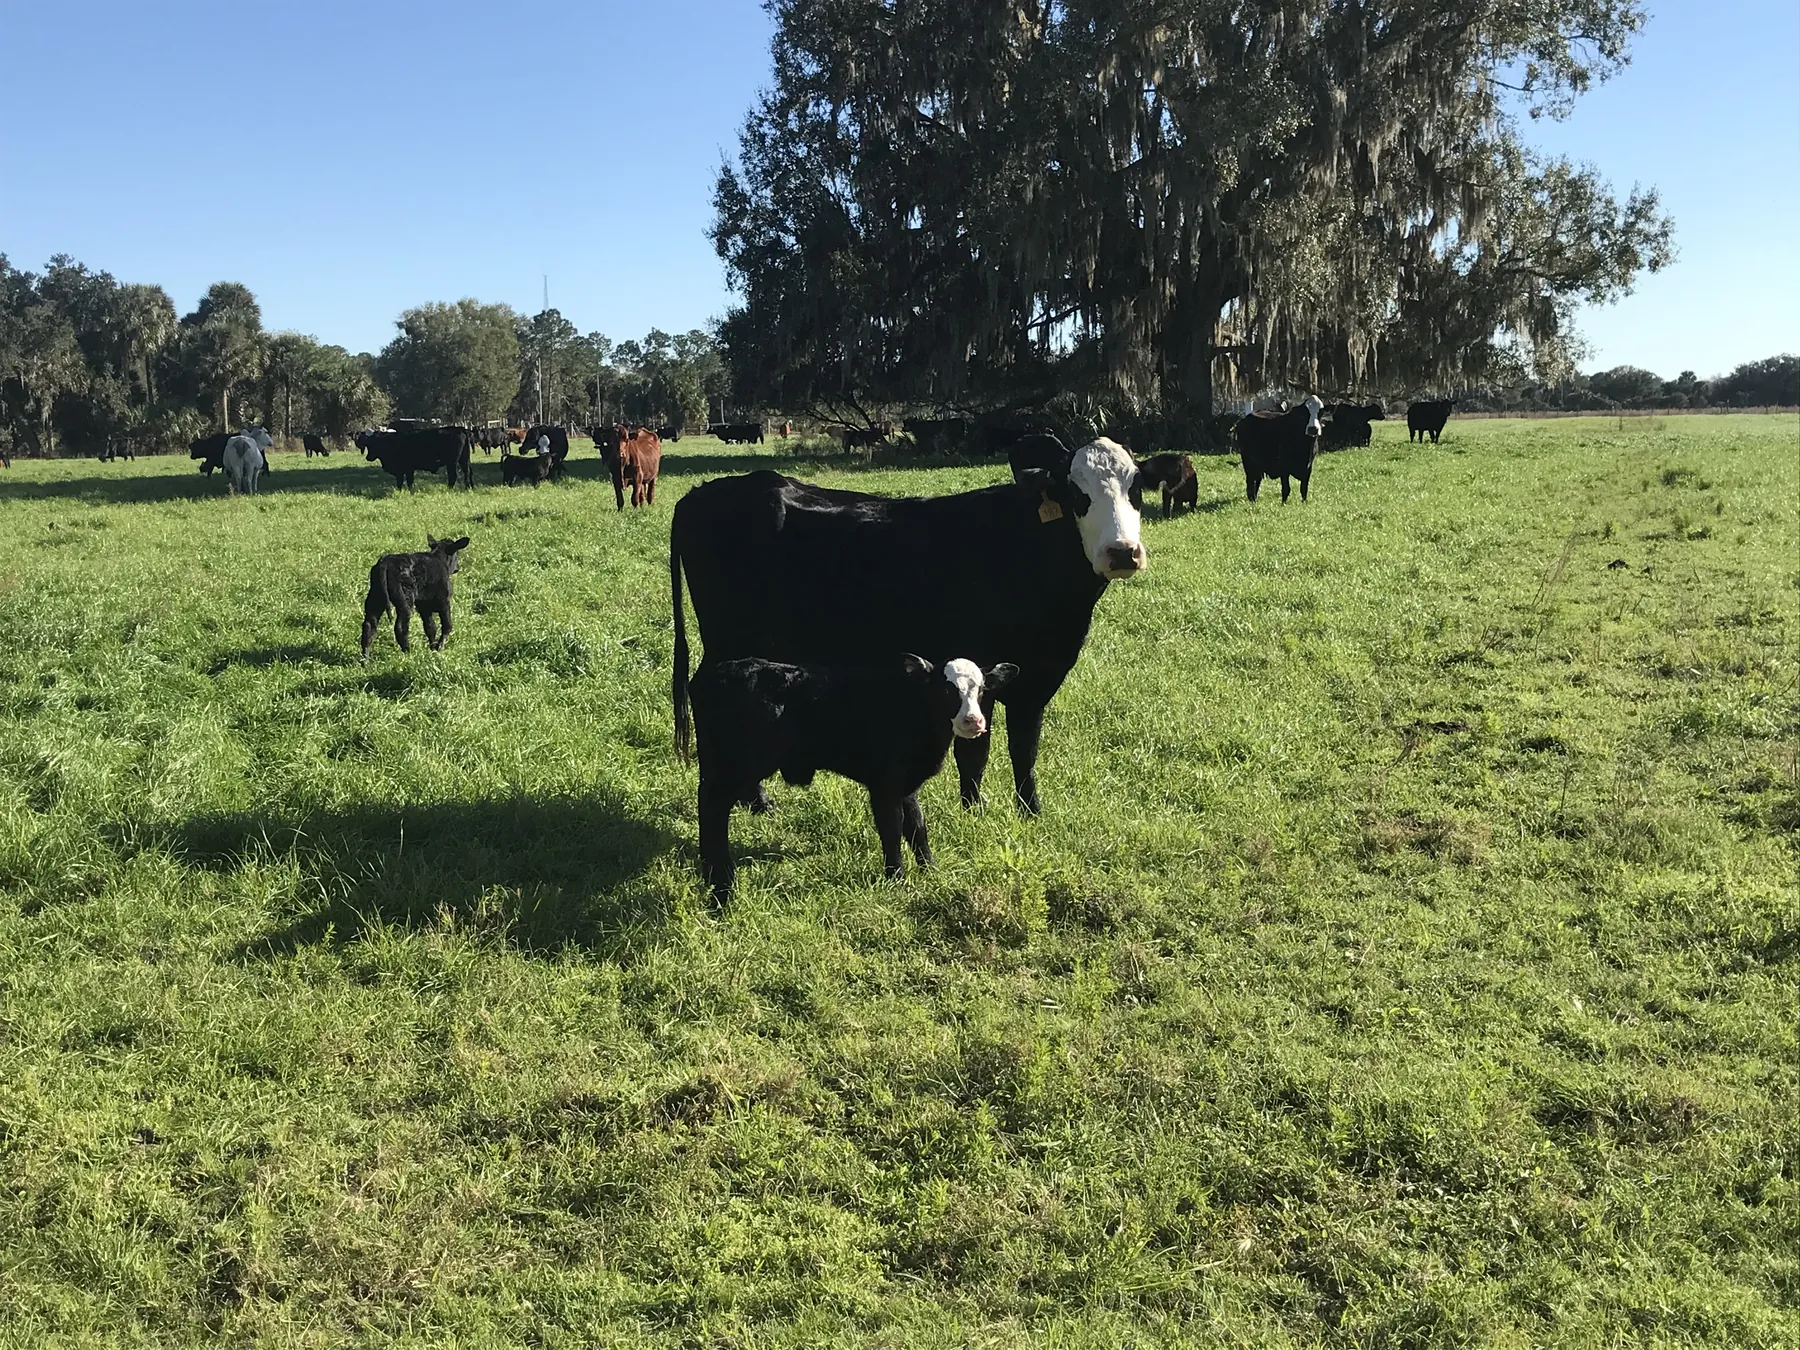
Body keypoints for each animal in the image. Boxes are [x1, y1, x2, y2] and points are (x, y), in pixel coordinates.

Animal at [669, 435, 1147, 817]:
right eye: (1076, 491)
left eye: (1137, 490)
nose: (1123, 551)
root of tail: (702, 493)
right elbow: (975, 750)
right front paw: (973, 812)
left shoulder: (1035, 680)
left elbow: (1023, 749)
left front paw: (1030, 813)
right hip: (728, 636)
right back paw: (753, 798)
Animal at [687, 654, 1016, 900]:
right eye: (946, 690)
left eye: (981, 690)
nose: (974, 721)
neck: (910, 709)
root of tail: (713, 674)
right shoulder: (884, 786)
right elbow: (891, 829)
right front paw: (896, 878)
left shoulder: (906, 785)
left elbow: (917, 827)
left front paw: (931, 870)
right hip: (742, 763)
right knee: (713, 804)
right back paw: (723, 882)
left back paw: (710, 868)